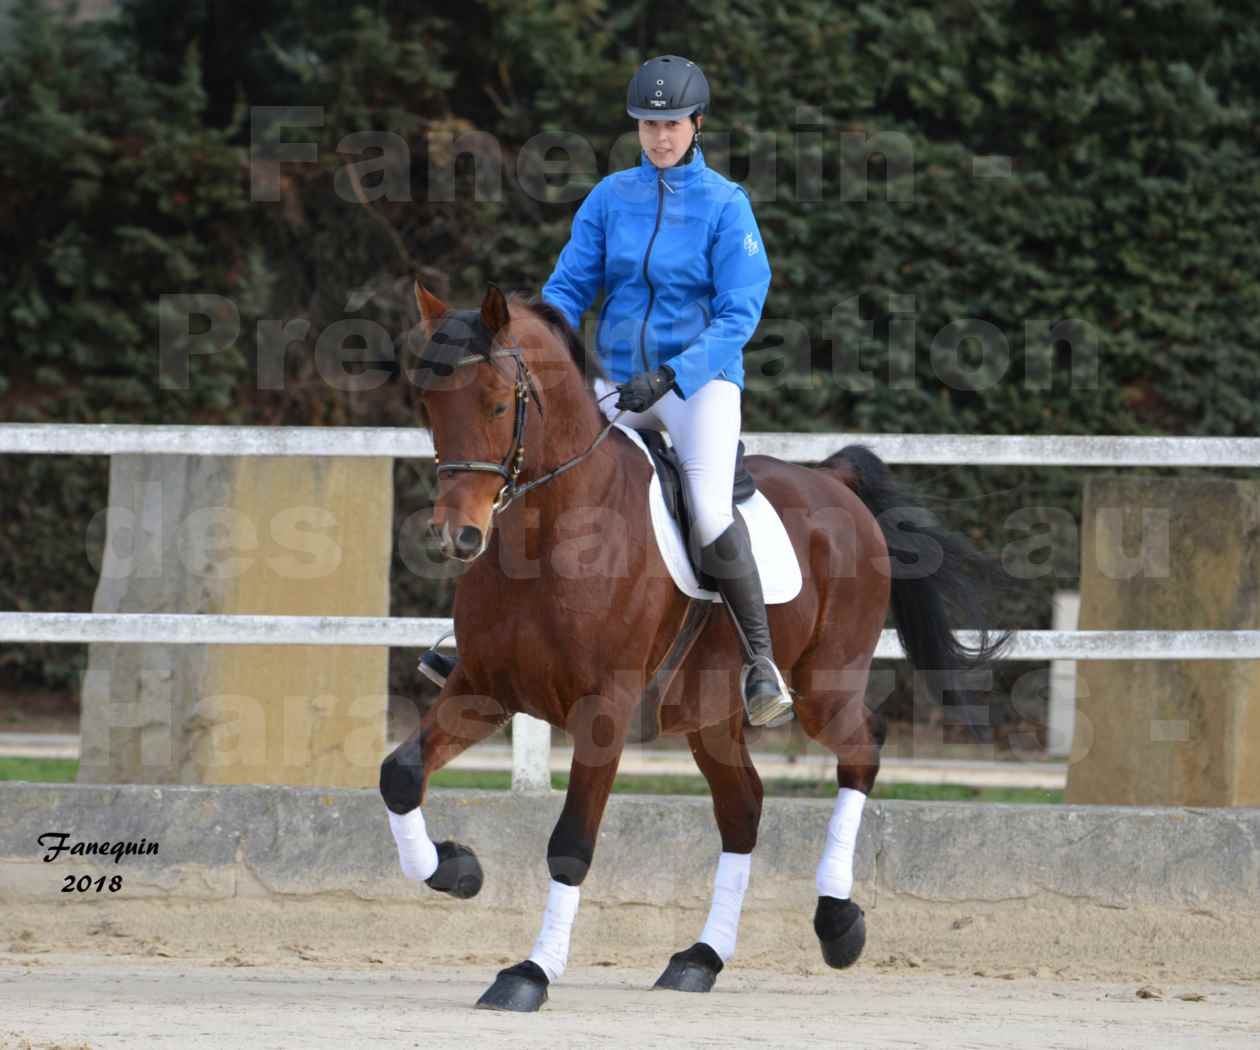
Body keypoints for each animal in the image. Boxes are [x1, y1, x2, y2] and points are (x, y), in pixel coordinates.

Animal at [378, 282, 1008, 1013]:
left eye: (498, 403)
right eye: (429, 405)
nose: (457, 537)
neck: (549, 531)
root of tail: (833, 480)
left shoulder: (603, 711)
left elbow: (571, 844)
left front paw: (530, 973)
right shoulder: (482, 687)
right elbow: (400, 775)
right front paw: (458, 869)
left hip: (825, 686)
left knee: (861, 752)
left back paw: (838, 923)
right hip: (709, 714)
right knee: (744, 809)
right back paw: (700, 959)